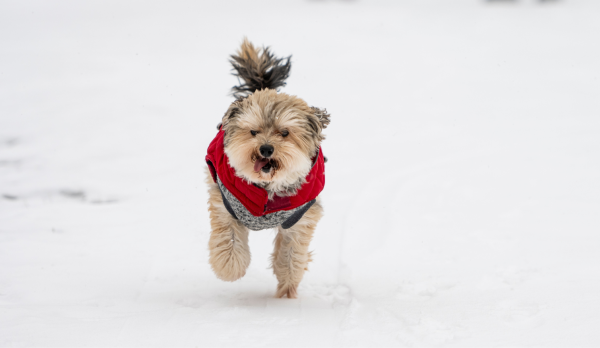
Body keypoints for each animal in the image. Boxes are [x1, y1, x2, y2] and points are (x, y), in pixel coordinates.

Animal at [204, 39, 330, 298]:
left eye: (285, 133)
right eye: (253, 132)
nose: (266, 148)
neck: (267, 187)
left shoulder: (300, 219)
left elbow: (291, 256)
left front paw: (287, 289)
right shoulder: (226, 204)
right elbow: (229, 242)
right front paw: (229, 269)